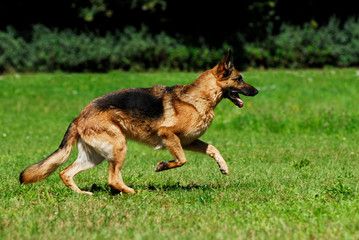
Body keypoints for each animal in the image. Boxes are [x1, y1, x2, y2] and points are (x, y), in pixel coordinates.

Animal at [19, 49, 258, 195]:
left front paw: (223, 167)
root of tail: (79, 116)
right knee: (112, 179)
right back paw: (132, 192)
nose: (256, 91)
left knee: (65, 172)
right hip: (118, 146)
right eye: (239, 79)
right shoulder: (168, 135)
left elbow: (213, 148)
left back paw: (83, 194)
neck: (201, 97)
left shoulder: (189, 141)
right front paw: (162, 166)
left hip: (95, 156)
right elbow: (181, 160)